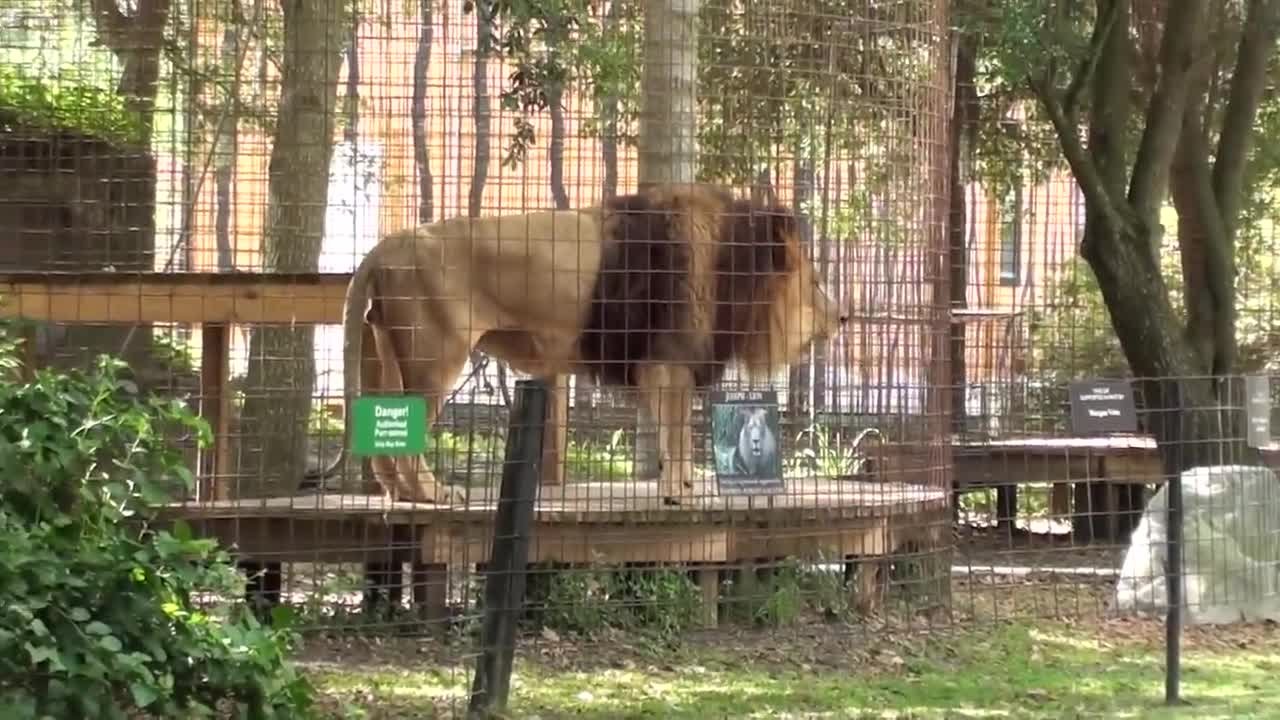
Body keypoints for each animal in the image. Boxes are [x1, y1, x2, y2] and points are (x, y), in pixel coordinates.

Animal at [307, 181, 849, 502]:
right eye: (816, 280)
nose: (845, 315)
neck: (731, 268)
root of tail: (384, 245)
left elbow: (673, 431)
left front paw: (684, 484)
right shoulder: (668, 359)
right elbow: (675, 431)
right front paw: (681, 491)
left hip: (382, 353)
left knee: (382, 439)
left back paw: (403, 495)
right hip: (434, 357)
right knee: (406, 438)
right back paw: (435, 494)